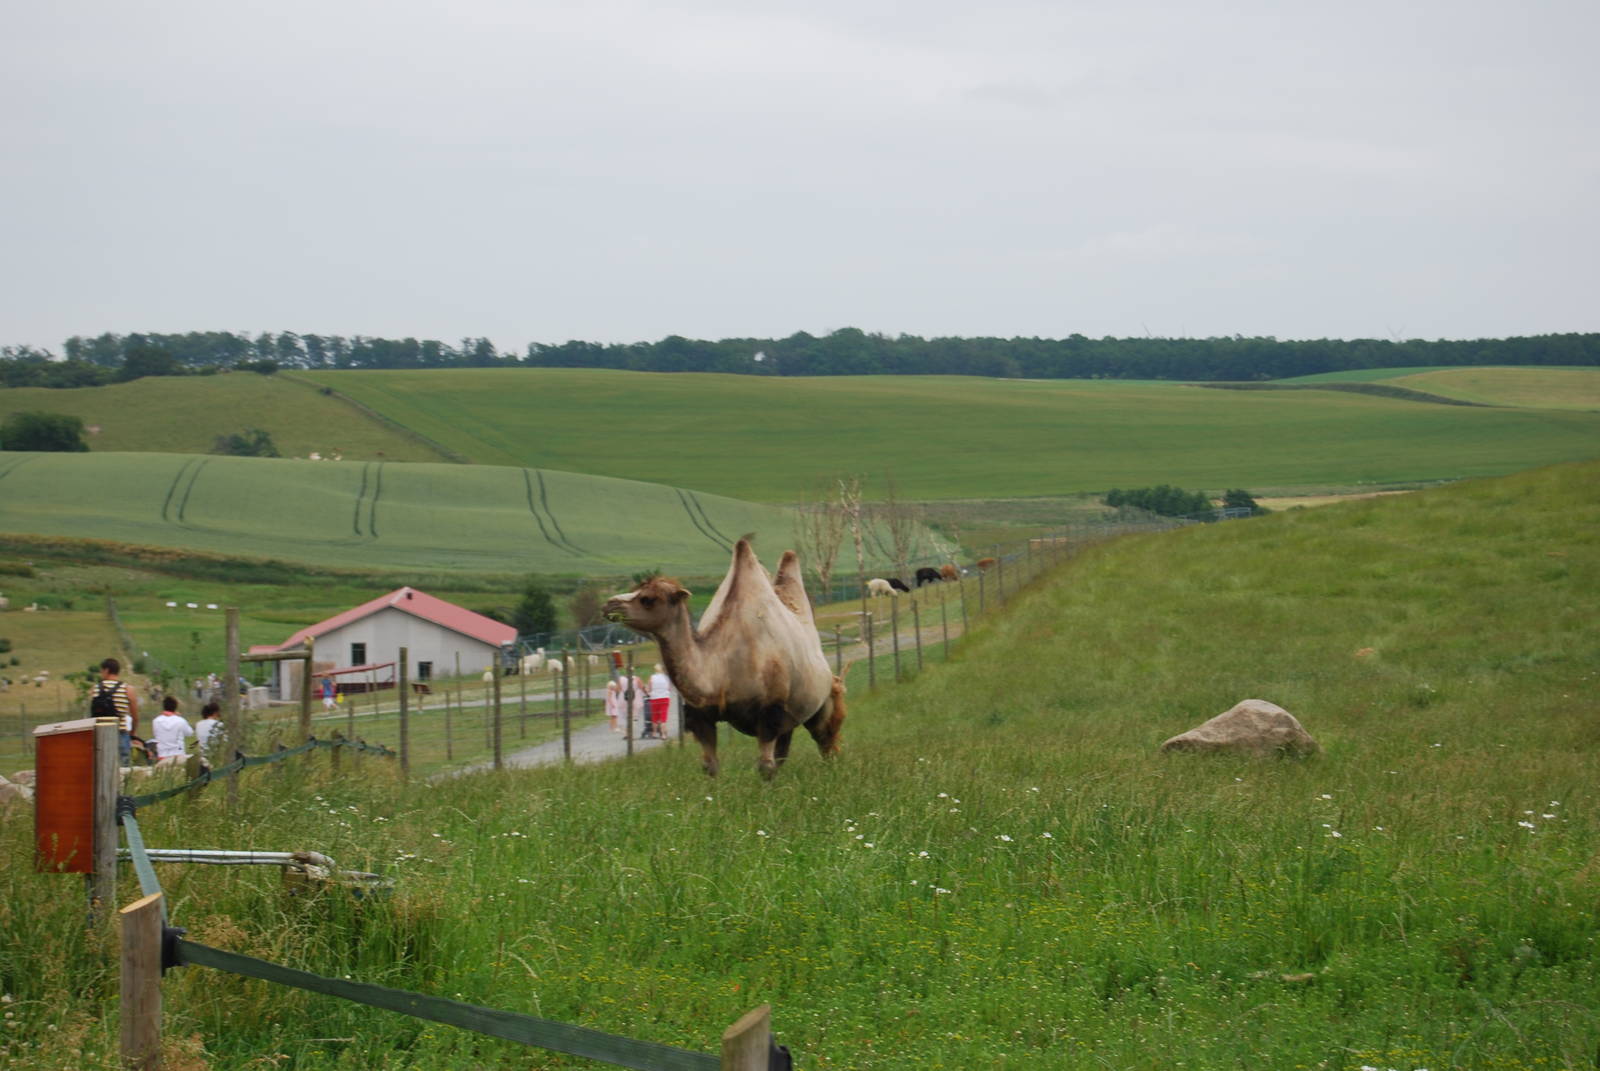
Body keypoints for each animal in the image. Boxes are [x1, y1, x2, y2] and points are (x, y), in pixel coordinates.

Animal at [603, 539, 845, 779]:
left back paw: (831, 772)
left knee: (825, 740)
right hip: (791, 717)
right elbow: (710, 765)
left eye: (647, 599)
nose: (608, 604)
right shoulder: (701, 716)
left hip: (823, 701)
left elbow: (765, 766)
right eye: (636, 590)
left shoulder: (769, 712)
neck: (721, 668)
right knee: (785, 751)